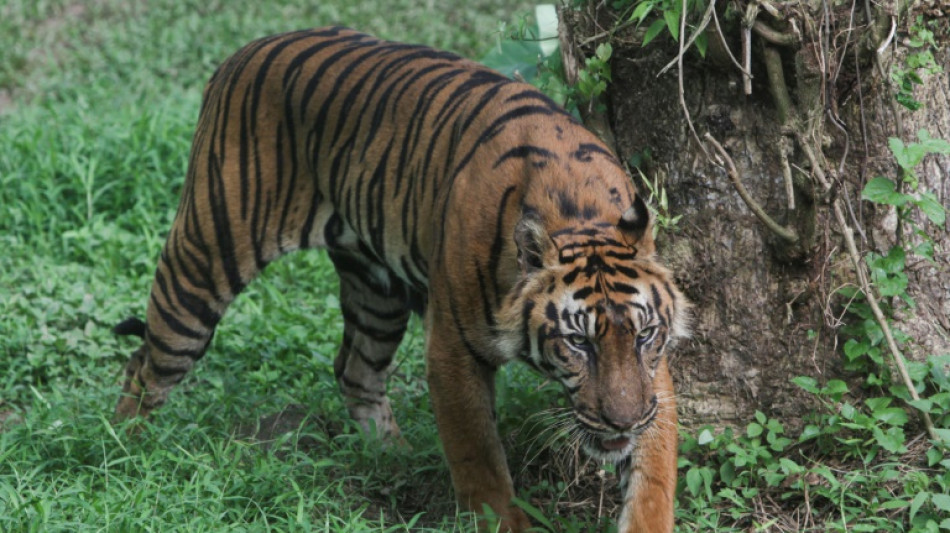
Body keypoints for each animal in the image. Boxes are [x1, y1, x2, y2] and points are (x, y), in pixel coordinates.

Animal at [112, 26, 690, 532]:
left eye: (644, 336)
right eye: (577, 342)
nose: (623, 423)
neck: (579, 210)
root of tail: (243, 53)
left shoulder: (654, 376)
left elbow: (654, 478)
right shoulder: (453, 351)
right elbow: (481, 465)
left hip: (376, 293)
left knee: (354, 371)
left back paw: (393, 458)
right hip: (203, 261)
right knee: (144, 364)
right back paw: (124, 453)